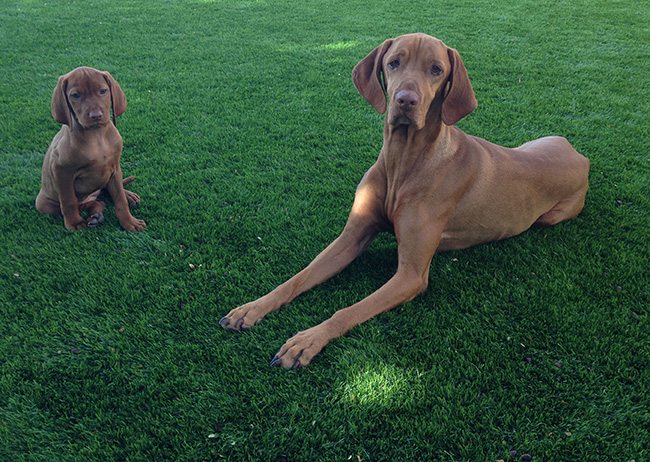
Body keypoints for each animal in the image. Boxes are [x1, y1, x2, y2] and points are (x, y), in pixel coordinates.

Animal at [35, 66, 144, 231]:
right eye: (75, 95)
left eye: (103, 91)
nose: (96, 116)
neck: (97, 136)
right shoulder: (61, 170)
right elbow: (68, 201)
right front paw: (74, 223)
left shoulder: (115, 167)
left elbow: (119, 198)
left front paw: (129, 222)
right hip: (42, 203)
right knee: (90, 203)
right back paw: (95, 215)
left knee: (105, 194)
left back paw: (126, 196)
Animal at [218, 33, 588, 368]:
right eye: (394, 62)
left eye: (436, 70)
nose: (405, 100)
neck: (404, 160)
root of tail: (578, 154)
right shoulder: (350, 238)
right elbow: (297, 278)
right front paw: (253, 307)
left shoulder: (410, 275)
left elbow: (347, 311)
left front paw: (307, 340)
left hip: (550, 215)